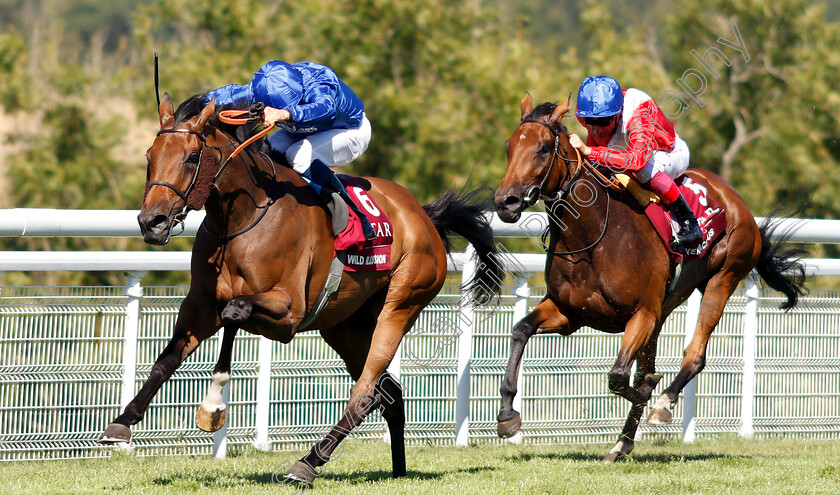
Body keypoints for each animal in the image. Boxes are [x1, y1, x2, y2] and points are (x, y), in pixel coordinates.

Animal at [101, 93, 502, 484]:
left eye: (192, 157)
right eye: (150, 157)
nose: (152, 222)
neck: (241, 218)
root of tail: (424, 215)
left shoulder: (288, 313)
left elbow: (235, 309)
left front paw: (213, 406)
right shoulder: (199, 305)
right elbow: (167, 358)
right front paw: (122, 422)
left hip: (400, 305)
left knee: (365, 390)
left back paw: (307, 463)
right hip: (345, 327)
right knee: (387, 391)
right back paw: (398, 470)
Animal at [492, 95, 808, 464]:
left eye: (543, 148)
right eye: (509, 146)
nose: (505, 202)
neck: (592, 235)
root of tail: (735, 199)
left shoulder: (642, 311)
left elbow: (619, 376)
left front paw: (649, 391)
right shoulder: (570, 312)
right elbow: (521, 330)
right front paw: (507, 416)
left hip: (724, 277)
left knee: (695, 355)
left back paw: (663, 403)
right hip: (664, 309)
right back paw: (622, 443)